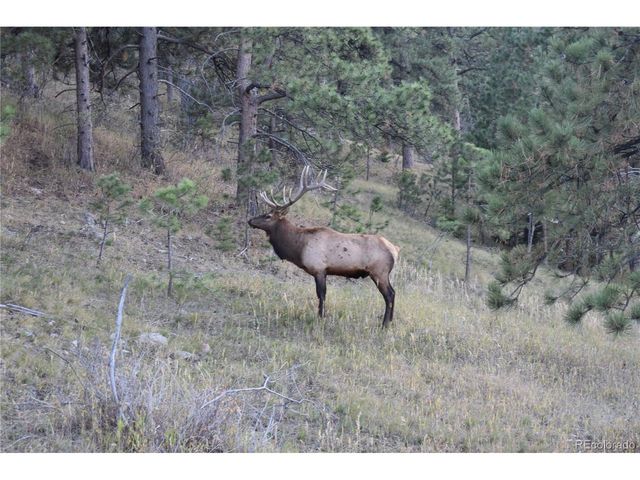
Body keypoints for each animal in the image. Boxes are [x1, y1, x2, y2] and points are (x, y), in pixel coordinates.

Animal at [248, 166, 400, 327]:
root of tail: (396, 250)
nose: (250, 220)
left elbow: (321, 294)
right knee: (393, 293)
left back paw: (384, 324)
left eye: (268, 216)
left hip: (379, 272)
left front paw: (320, 317)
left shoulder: (319, 268)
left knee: (389, 295)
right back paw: (390, 321)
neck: (299, 247)